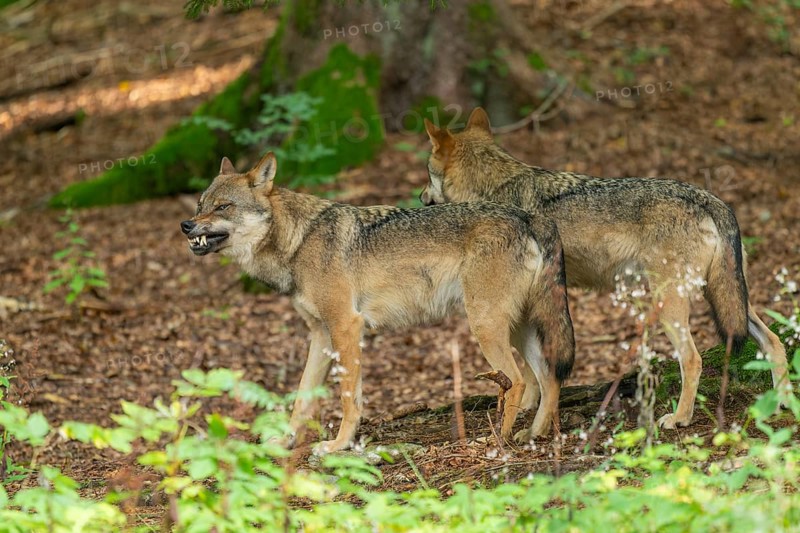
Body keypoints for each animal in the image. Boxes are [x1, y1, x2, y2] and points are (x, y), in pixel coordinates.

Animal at [180, 152, 575, 452]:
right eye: (200, 205)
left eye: (223, 206)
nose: (186, 225)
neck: (298, 242)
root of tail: (530, 218)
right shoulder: (320, 335)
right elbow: (303, 398)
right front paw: (286, 441)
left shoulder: (346, 327)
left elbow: (347, 397)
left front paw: (338, 445)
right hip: (518, 328)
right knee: (550, 377)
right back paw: (534, 434)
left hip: (486, 326)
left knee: (520, 381)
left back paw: (498, 441)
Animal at [420, 107, 790, 429]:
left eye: (426, 175)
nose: (422, 197)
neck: (495, 185)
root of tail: (709, 197)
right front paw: (529, 407)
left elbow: (524, 368)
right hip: (729, 299)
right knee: (773, 340)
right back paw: (782, 402)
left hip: (670, 305)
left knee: (693, 359)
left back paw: (679, 418)